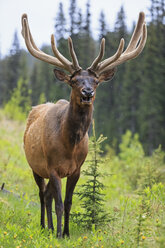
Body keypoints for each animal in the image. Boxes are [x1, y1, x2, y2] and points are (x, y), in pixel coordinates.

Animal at [21, 12, 147, 237]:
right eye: (74, 81)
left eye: (96, 81)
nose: (87, 92)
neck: (69, 146)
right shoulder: (53, 167)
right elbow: (59, 203)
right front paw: (59, 235)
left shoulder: (76, 169)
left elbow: (68, 202)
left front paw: (66, 233)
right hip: (35, 166)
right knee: (41, 194)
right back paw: (44, 226)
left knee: (47, 195)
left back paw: (50, 228)